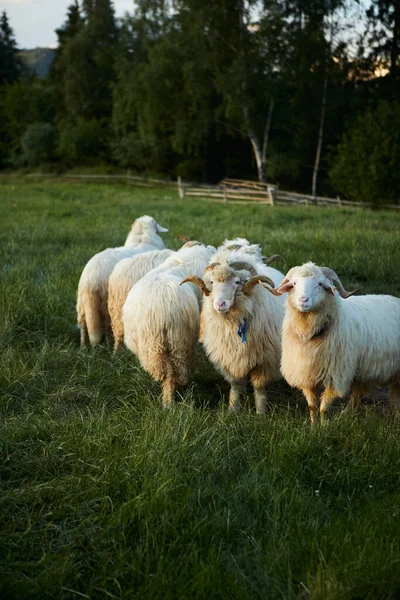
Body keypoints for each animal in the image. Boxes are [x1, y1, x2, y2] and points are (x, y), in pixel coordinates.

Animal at [76, 216, 167, 346]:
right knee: (108, 325)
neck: (141, 239)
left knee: (83, 325)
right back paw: (109, 344)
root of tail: (91, 280)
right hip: (107, 302)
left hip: (82, 303)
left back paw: (83, 346)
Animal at [122, 241, 216, 406]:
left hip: (159, 347)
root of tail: (164, 308)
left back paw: (168, 401)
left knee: (168, 374)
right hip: (179, 343)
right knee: (175, 372)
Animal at [180, 248, 286, 412]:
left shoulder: (265, 360)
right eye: (212, 282)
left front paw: (261, 411)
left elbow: (260, 386)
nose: (220, 304)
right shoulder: (229, 357)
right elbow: (235, 384)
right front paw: (233, 409)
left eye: (237, 282)